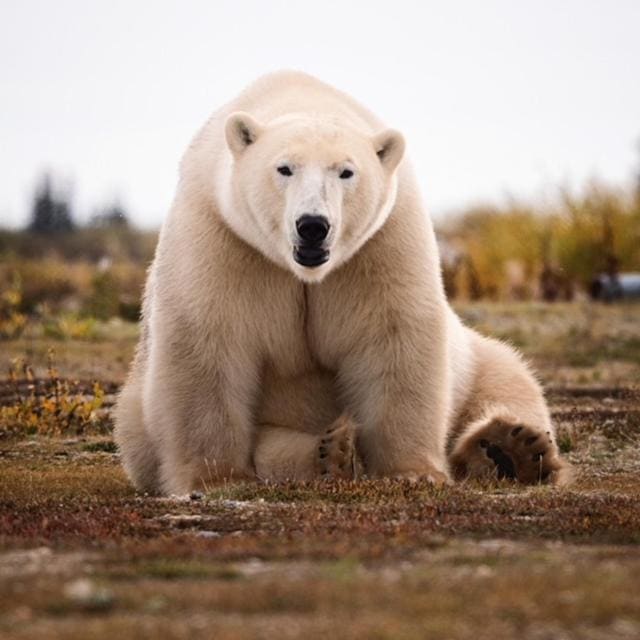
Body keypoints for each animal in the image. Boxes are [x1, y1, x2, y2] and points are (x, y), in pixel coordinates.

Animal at [114, 70, 569, 495]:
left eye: (346, 172)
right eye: (284, 168)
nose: (313, 226)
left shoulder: (380, 244)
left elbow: (392, 336)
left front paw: (412, 473)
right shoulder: (224, 237)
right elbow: (209, 340)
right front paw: (216, 477)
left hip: (475, 362)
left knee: (511, 381)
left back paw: (513, 448)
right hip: (137, 415)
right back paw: (330, 453)